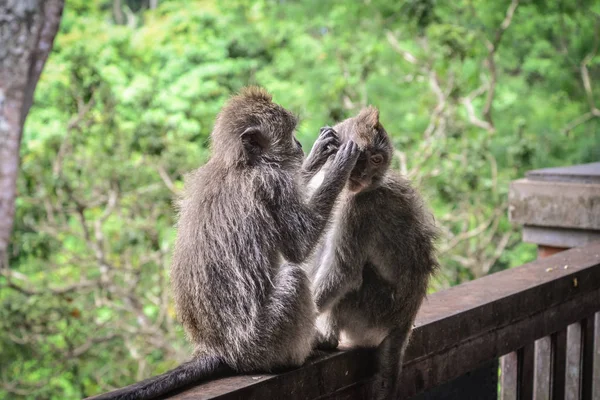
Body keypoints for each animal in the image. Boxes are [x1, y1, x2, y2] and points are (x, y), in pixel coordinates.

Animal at [88, 88, 360, 400]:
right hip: (262, 342)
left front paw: (318, 155)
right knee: (293, 276)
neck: (239, 163)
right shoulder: (271, 182)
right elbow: (299, 245)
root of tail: (217, 349)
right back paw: (301, 352)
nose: (299, 144)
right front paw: (339, 166)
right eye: (289, 133)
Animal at [304, 107, 436, 400]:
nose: (364, 174)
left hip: (371, 316)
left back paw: (325, 339)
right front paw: (316, 154)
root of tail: (404, 322)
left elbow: (344, 274)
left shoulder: (359, 208)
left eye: (376, 160)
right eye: (361, 157)